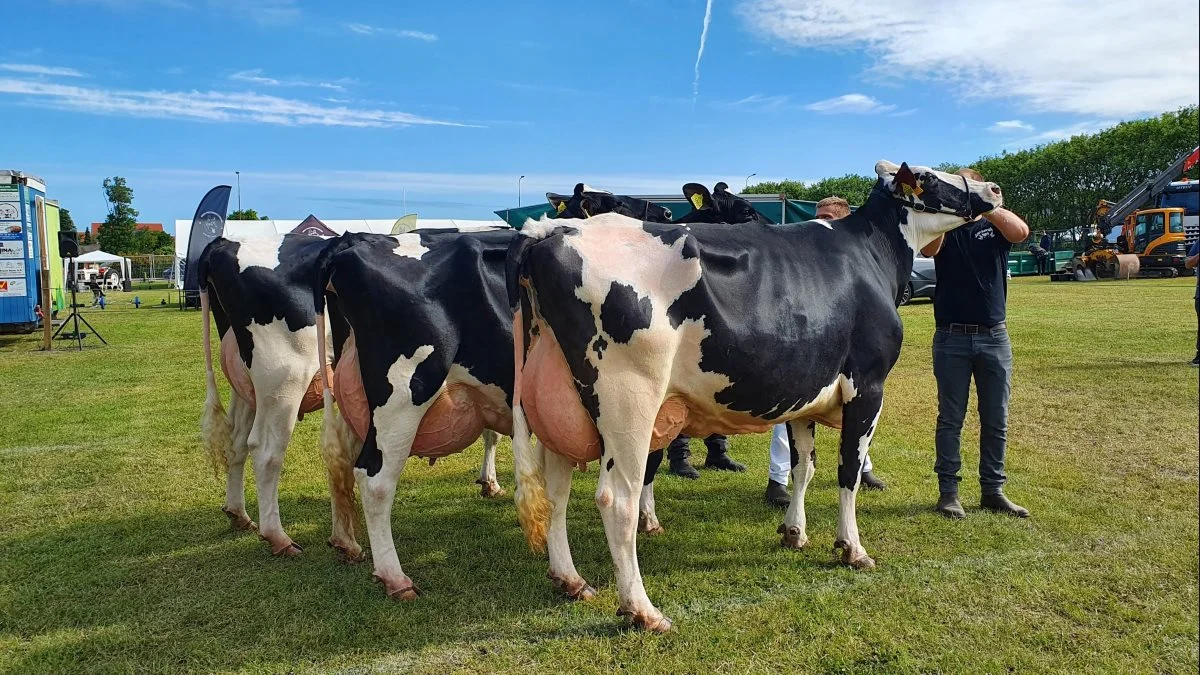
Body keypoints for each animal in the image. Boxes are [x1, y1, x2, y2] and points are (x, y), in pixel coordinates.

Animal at [199, 228, 504, 559]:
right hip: (285, 381)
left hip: (248, 384)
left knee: (237, 440)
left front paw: (488, 481)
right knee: (267, 451)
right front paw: (491, 483)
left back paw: (238, 513)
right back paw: (279, 537)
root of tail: (224, 244)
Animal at [506, 159, 1003, 629]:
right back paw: (642, 610)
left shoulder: (806, 391)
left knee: (556, 491)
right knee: (617, 499)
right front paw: (852, 548)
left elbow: (803, 468)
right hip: (629, 401)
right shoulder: (868, 385)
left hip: (558, 404)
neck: (871, 255)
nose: (994, 188)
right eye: (929, 177)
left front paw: (794, 533)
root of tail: (550, 231)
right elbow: (848, 472)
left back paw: (570, 580)